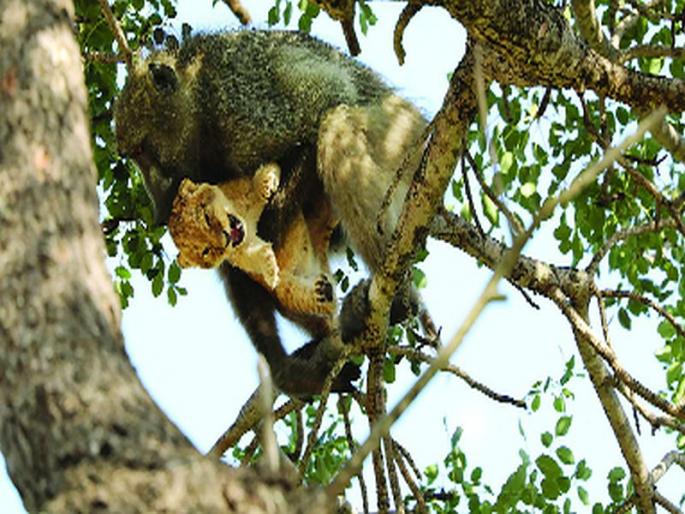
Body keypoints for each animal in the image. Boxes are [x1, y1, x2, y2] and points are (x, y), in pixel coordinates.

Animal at [114, 30, 427, 395]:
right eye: (132, 155)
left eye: (142, 151)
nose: (157, 205)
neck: (198, 103)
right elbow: (230, 260)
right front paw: (286, 372)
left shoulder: (244, 107)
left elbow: (324, 107)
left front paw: (272, 222)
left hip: (403, 137)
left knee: (335, 124)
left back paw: (398, 299)